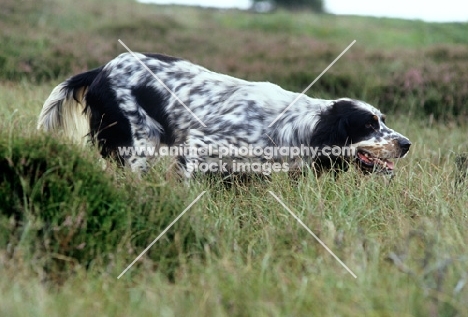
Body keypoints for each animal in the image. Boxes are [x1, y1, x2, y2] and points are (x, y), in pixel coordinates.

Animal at [36, 51, 412, 178]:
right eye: (369, 125)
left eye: (383, 119)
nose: (407, 144)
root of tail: (100, 69)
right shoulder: (198, 146)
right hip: (138, 145)